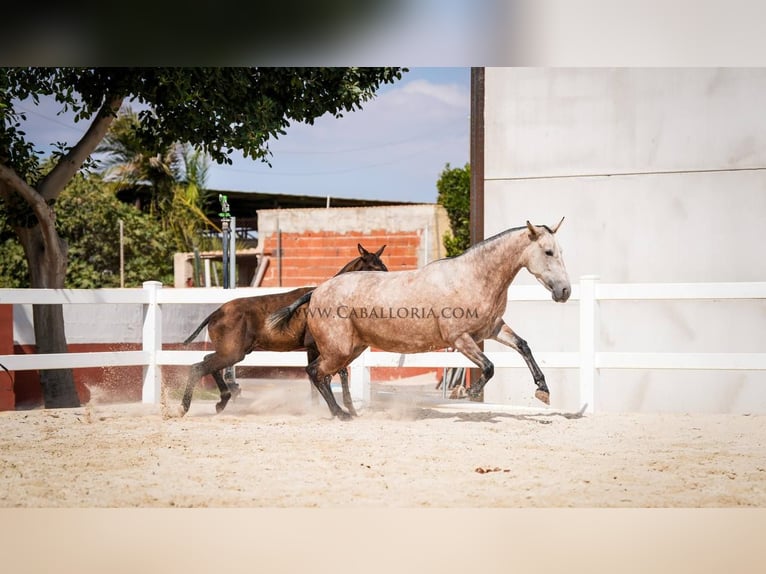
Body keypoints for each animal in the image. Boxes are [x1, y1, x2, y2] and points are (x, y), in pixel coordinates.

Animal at [178, 244, 388, 418]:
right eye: (375, 268)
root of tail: (216, 313)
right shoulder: (320, 347)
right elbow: (332, 374)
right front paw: (344, 410)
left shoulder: (314, 349)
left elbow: (322, 376)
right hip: (233, 353)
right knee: (198, 367)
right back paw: (184, 408)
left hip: (231, 351)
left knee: (207, 361)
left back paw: (222, 400)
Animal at [270, 219, 568, 418]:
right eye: (548, 252)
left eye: (560, 251)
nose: (565, 291)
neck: (473, 276)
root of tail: (317, 291)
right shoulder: (460, 339)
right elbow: (489, 367)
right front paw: (467, 393)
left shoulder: (492, 329)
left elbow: (523, 346)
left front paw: (543, 390)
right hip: (338, 350)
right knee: (315, 373)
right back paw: (340, 413)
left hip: (351, 349)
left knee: (323, 374)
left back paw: (346, 411)